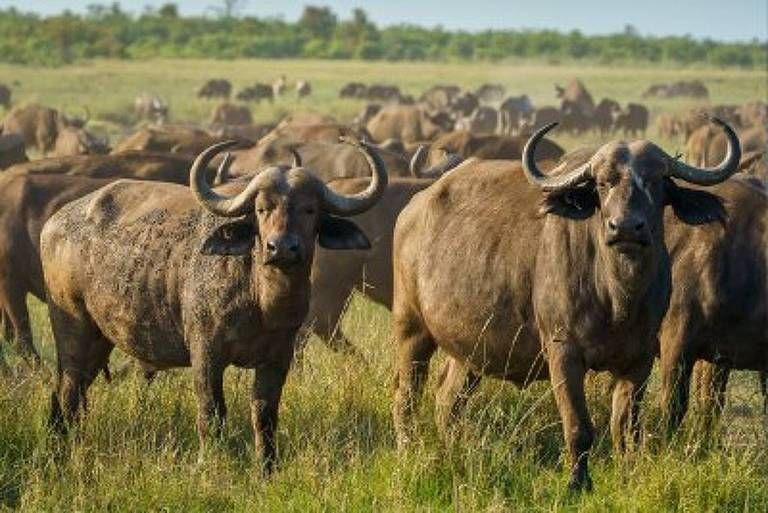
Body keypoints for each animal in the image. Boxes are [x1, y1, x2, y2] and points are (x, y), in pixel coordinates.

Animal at [41, 137, 388, 472]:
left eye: (310, 209)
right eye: (261, 209)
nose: (281, 248)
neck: (261, 300)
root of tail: (54, 223)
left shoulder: (279, 357)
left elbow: (264, 415)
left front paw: (267, 468)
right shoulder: (206, 354)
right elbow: (213, 414)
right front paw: (209, 463)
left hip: (100, 339)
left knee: (69, 392)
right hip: (73, 330)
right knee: (69, 390)